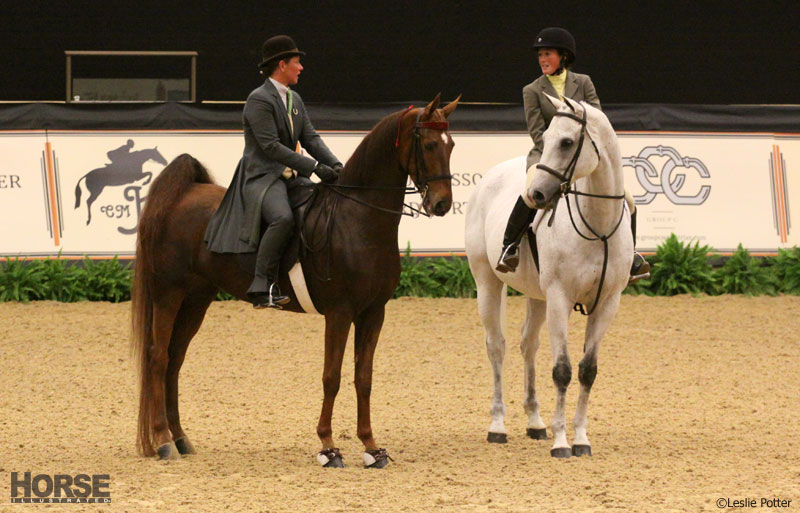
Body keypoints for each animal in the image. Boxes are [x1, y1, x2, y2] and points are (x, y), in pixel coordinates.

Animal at [134, 93, 460, 468]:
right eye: (430, 144)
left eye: (451, 145)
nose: (442, 203)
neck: (358, 219)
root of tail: (182, 195)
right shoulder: (340, 312)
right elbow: (331, 377)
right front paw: (328, 448)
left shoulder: (373, 312)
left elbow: (363, 378)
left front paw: (371, 446)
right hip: (168, 294)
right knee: (158, 357)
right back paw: (162, 441)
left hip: (196, 299)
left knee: (174, 360)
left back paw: (180, 438)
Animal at [466, 95, 636, 456]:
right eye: (544, 139)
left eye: (568, 142)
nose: (537, 196)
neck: (597, 227)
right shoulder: (560, 297)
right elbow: (562, 370)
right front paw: (561, 443)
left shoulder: (607, 303)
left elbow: (587, 371)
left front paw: (581, 439)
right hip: (487, 282)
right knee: (496, 347)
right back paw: (498, 427)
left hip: (537, 295)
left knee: (527, 345)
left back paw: (535, 422)